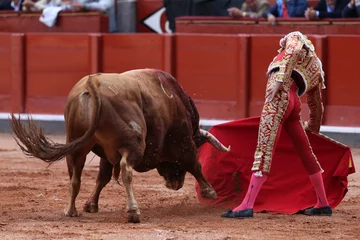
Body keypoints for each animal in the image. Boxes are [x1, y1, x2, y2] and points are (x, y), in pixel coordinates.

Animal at [11, 69, 232, 223]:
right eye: (198, 143)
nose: (174, 185)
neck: (177, 99)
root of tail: (93, 84)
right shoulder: (183, 141)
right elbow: (195, 164)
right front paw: (210, 192)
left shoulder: (106, 153)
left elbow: (103, 177)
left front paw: (91, 205)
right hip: (133, 144)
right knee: (126, 169)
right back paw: (133, 211)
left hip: (77, 144)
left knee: (75, 175)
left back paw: (70, 210)